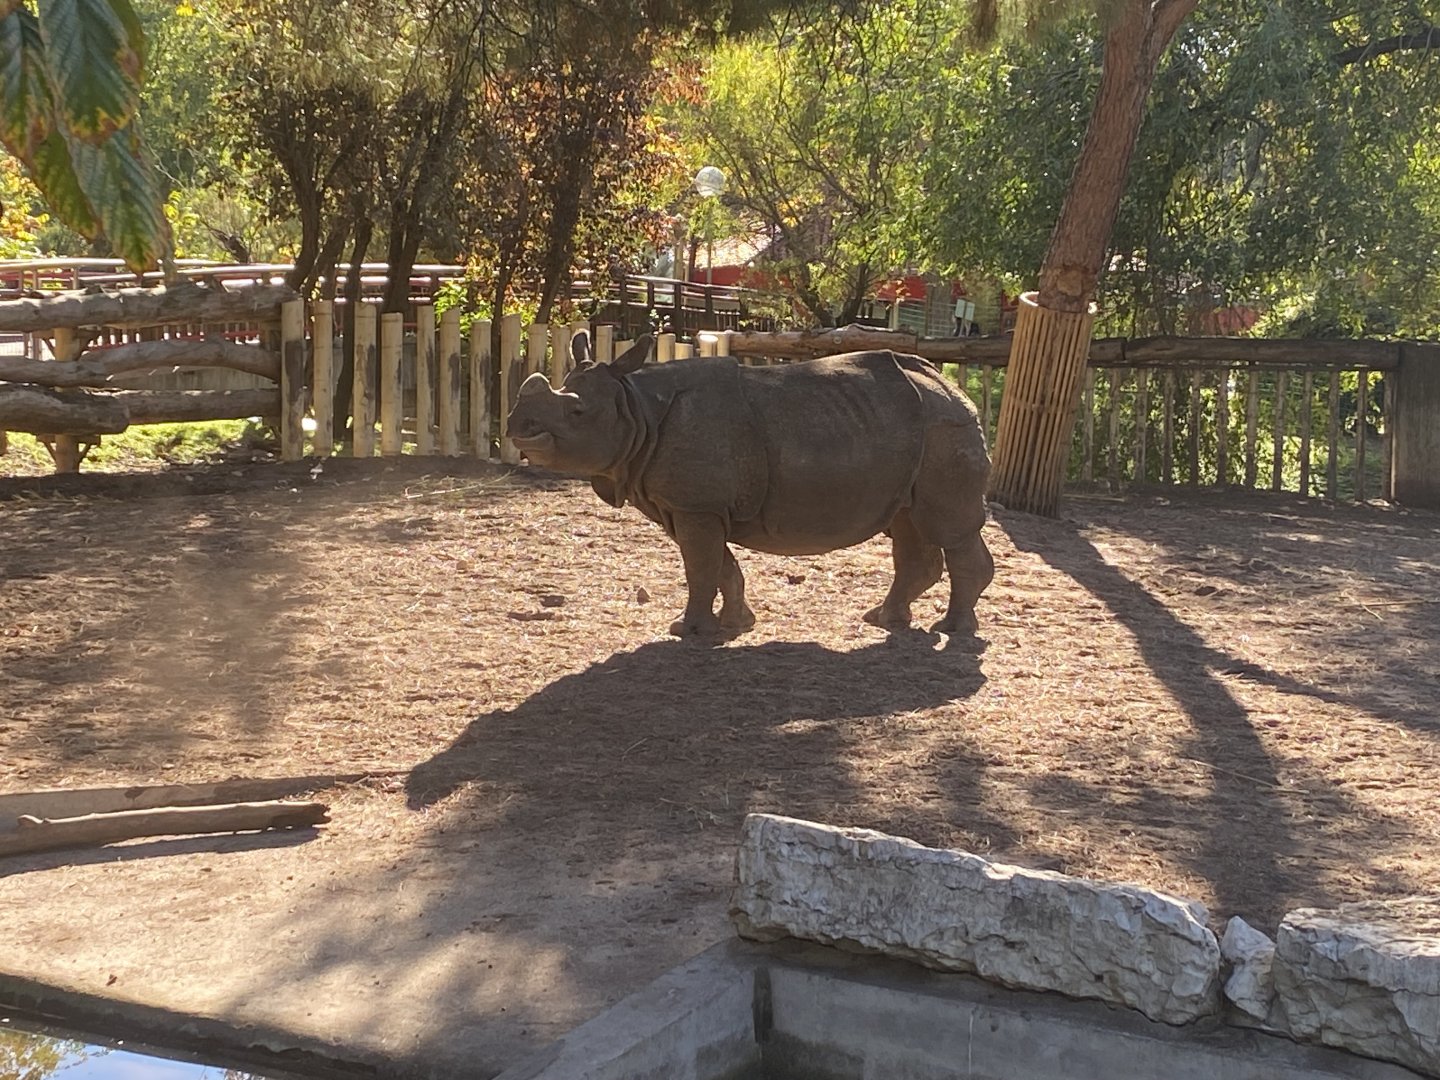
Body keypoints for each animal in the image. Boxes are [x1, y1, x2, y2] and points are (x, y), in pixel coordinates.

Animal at [506, 331, 994, 639]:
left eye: (576, 413)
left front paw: (688, 631)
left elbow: (700, 567)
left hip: (944, 427)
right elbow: (719, 565)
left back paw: (953, 630)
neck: (635, 407)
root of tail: (952, 386)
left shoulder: (696, 505)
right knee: (910, 524)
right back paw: (884, 620)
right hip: (919, 431)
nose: (516, 426)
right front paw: (736, 624)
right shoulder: (688, 506)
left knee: (948, 527)